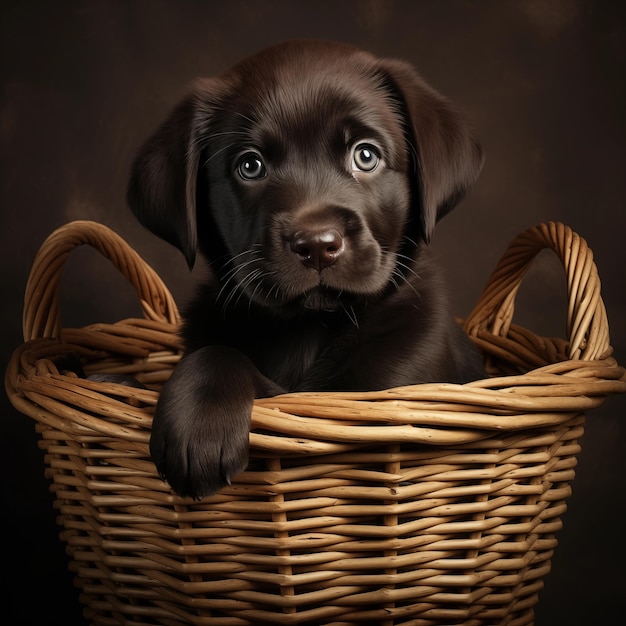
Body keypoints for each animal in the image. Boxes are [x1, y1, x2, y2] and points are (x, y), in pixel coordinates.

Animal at [127, 39, 486, 498]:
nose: (317, 246)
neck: (306, 329)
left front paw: (198, 427)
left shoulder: (388, 389)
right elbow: (220, 354)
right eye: (250, 165)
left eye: (365, 156)